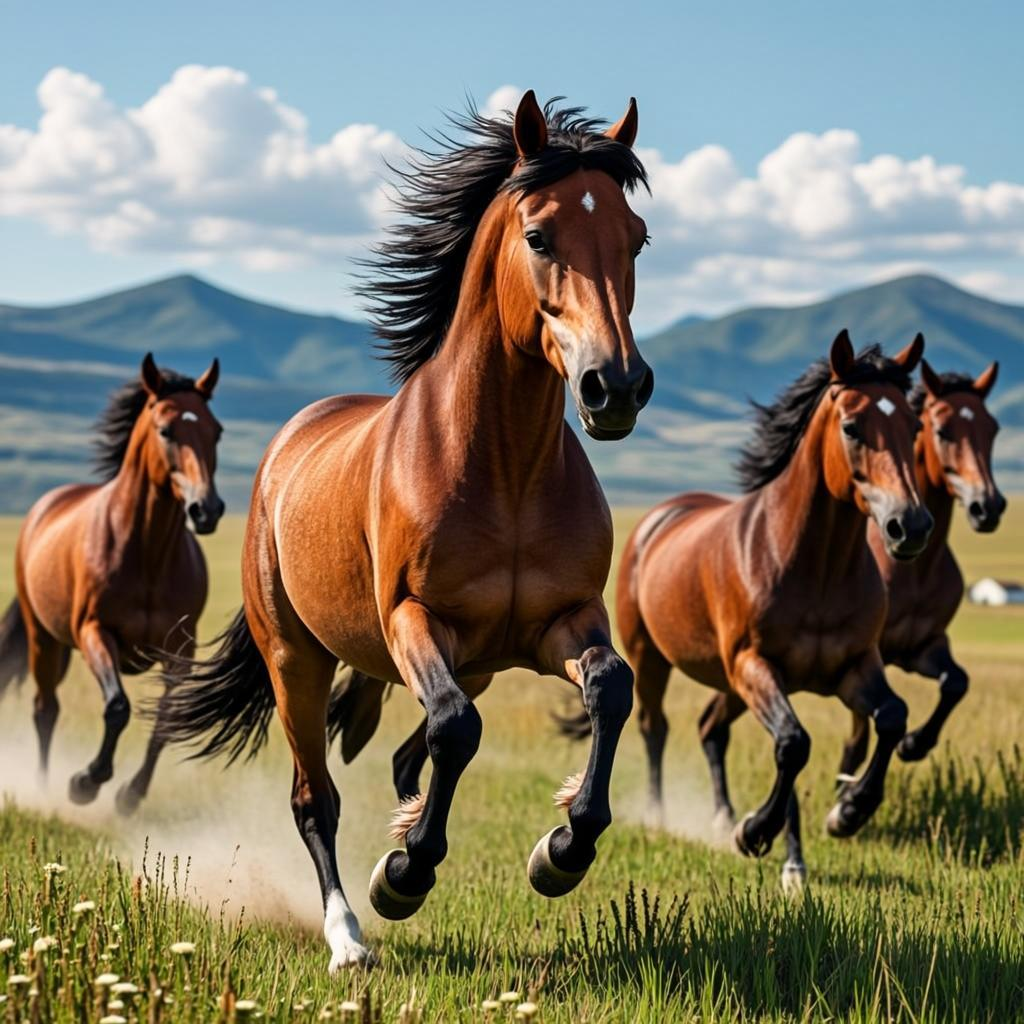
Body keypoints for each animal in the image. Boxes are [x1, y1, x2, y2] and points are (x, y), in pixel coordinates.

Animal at [0, 354, 223, 814]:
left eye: (217, 431)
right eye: (165, 430)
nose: (205, 509)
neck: (146, 554)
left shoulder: (181, 649)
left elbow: (166, 721)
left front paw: (129, 795)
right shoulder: (95, 632)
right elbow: (117, 706)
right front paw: (85, 782)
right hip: (42, 638)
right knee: (45, 708)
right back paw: (45, 789)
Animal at [154, 91, 653, 971]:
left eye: (637, 238)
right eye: (538, 235)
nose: (615, 386)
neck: (503, 468)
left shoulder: (563, 622)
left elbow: (608, 688)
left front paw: (561, 849)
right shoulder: (413, 620)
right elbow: (455, 728)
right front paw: (405, 873)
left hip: (475, 662)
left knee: (404, 750)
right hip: (296, 660)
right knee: (315, 797)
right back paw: (348, 935)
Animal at [610, 332, 931, 889]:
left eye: (914, 426)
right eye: (851, 426)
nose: (909, 526)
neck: (814, 568)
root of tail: (657, 519)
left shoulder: (854, 667)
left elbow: (891, 717)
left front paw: (848, 812)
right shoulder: (757, 666)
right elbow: (793, 744)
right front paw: (759, 834)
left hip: (728, 682)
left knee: (710, 728)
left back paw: (724, 818)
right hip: (654, 660)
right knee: (657, 728)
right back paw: (660, 815)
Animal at [838, 359, 1004, 778]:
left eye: (992, 429)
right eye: (942, 430)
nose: (987, 507)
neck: (916, 570)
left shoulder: (924, 647)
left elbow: (956, 682)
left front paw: (914, 744)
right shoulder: (869, 657)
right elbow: (858, 739)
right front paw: (850, 786)